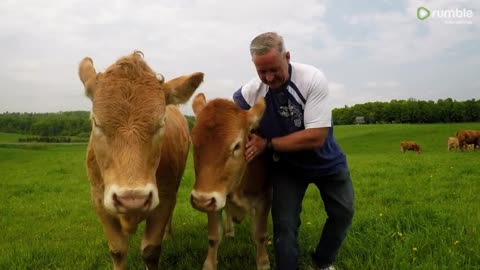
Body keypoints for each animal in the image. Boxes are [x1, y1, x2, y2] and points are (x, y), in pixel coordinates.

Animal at [77, 51, 204, 270]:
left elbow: (151, 250)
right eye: (96, 122)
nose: (132, 199)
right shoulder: (99, 201)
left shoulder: (164, 197)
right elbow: (117, 250)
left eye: (161, 123)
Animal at [189, 93, 272, 270]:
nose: (200, 200)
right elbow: (214, 236)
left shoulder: (265, 198)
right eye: (193, 142)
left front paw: (263, 262)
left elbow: (260, 234)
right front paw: (209, 264)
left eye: (236, 146)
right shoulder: (214, 199)